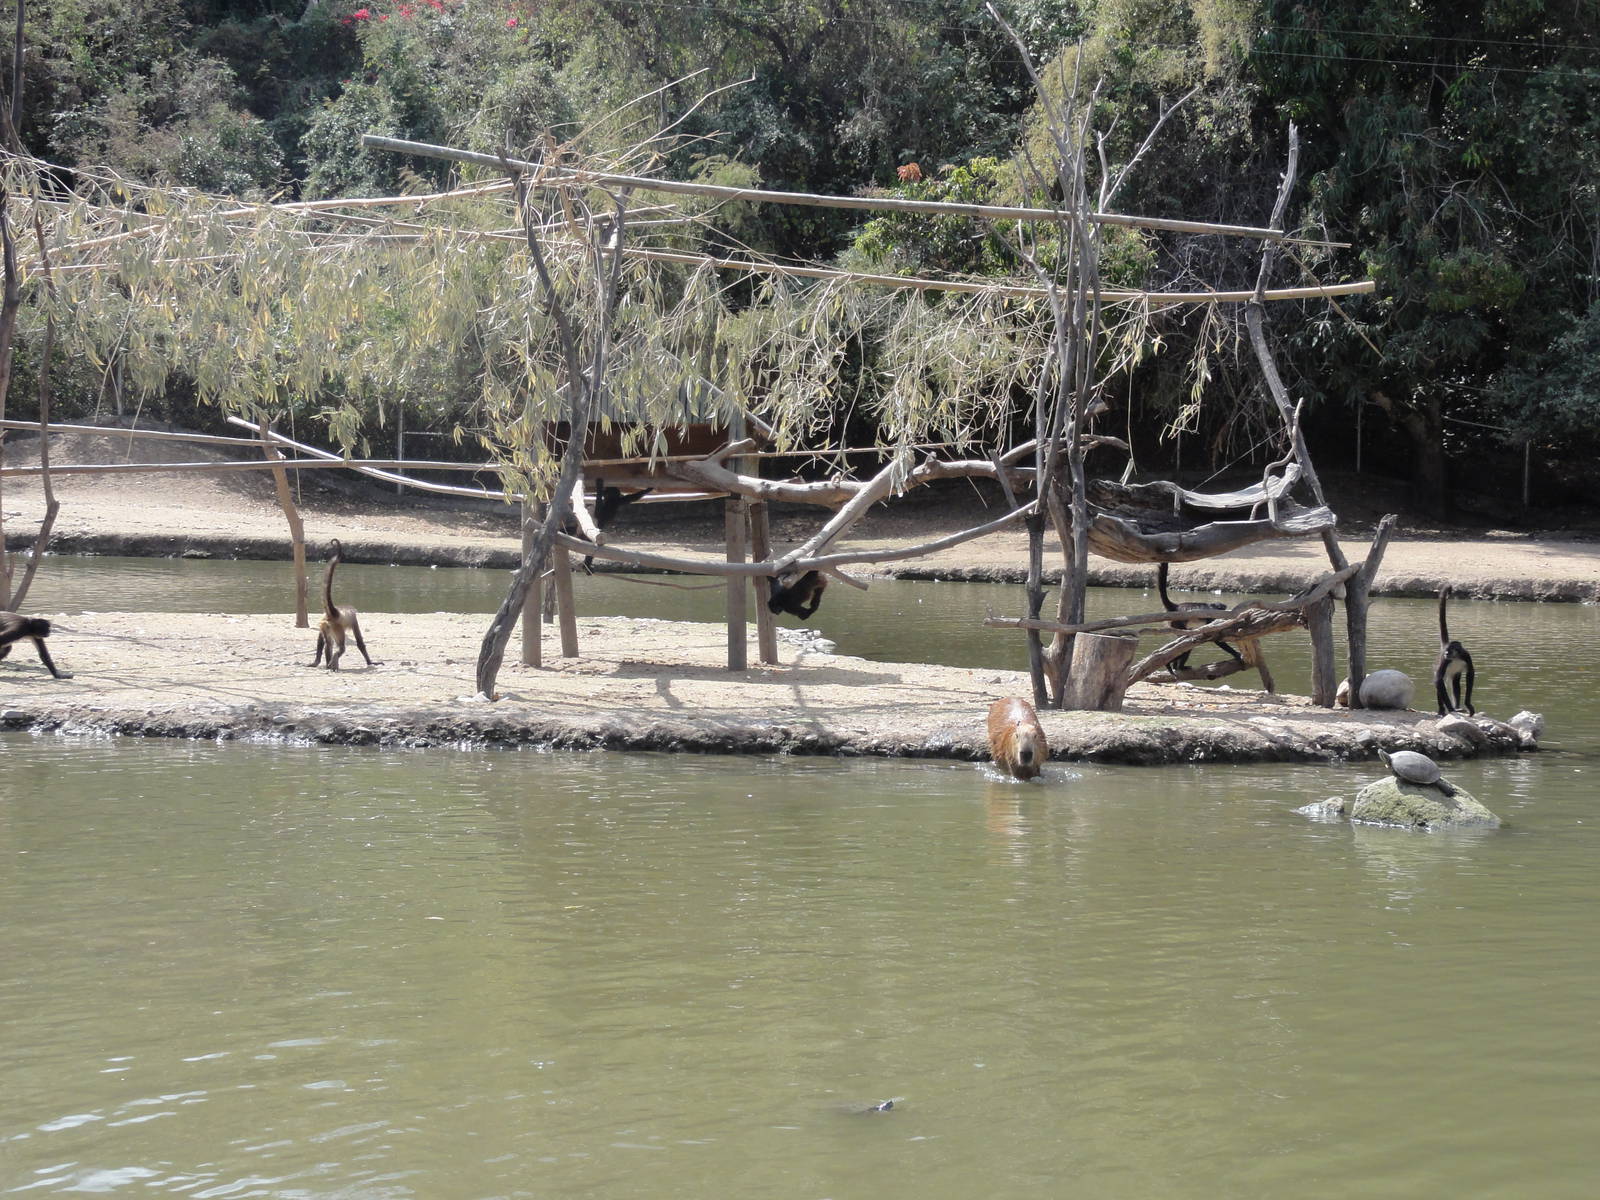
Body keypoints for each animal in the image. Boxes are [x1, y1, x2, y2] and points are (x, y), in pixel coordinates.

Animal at [309, 539, 375, 670]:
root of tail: (334, 613)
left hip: (326, 626)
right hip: (337, 628)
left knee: (327, 643)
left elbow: (321, 640)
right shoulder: (354, 619)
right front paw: (371, 662)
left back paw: (324, 663)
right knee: (340, 647)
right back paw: (333, 659)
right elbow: (359, 642)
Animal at [1434, 586, 1475, 716]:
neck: (1456, 657)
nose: (1446, 653)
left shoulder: (1466, 655)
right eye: (1447, 651)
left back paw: (1457, 706)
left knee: (1456, 683)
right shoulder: (1444, 659)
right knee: (1440, 683)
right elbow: (1438, 679)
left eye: (1451, 650)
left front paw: (1468, 704)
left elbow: (1470, 674)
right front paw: (1450, 709)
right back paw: (1443, 709)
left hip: (1454, 673)